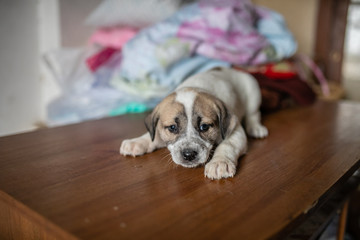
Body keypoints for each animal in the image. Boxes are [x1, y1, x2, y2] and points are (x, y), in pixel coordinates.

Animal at [119, 67, 268, 178]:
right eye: (172, 127)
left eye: (204, 127)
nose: (189, 155)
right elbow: (154, 136)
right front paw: (137, 142)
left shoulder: (235, 130)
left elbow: (227, 145)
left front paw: (220, 162)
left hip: (253, 92)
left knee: (253, 114)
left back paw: (256, 128)